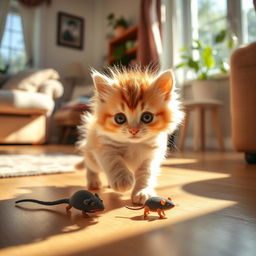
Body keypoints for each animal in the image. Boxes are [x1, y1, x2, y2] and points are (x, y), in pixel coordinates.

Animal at [77, 67, 183, 204]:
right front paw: (122, 181)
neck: (133, 145)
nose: (133, 131)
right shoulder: (103, 147)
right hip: (92, 156)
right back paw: (93, 182)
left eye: (147, 117)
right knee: (90, 166)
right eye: (120, 118)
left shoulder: (152, 155)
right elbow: (115, 162)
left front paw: (142, 191)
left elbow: (146, 173)